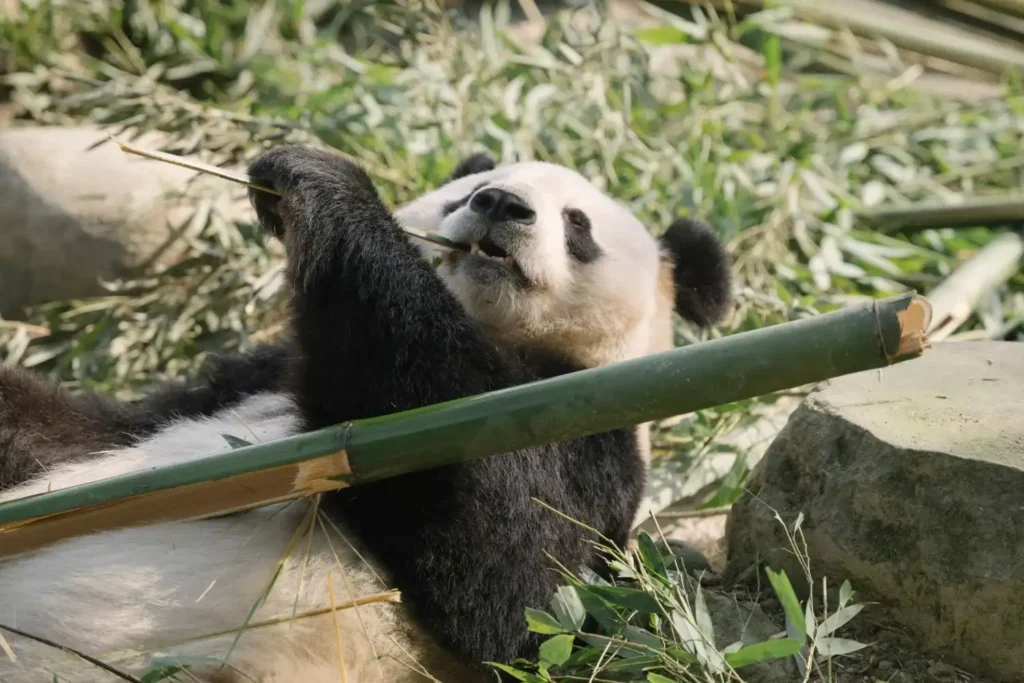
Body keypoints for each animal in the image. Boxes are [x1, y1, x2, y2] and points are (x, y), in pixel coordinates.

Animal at [0, 146, 731, 683]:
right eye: (471, 189)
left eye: (577, 224)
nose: (499, 204)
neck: (494, 332)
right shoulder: (243, 379)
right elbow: (77, 434)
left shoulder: (590, 427)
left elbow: (516, 570)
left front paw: (317, 179)